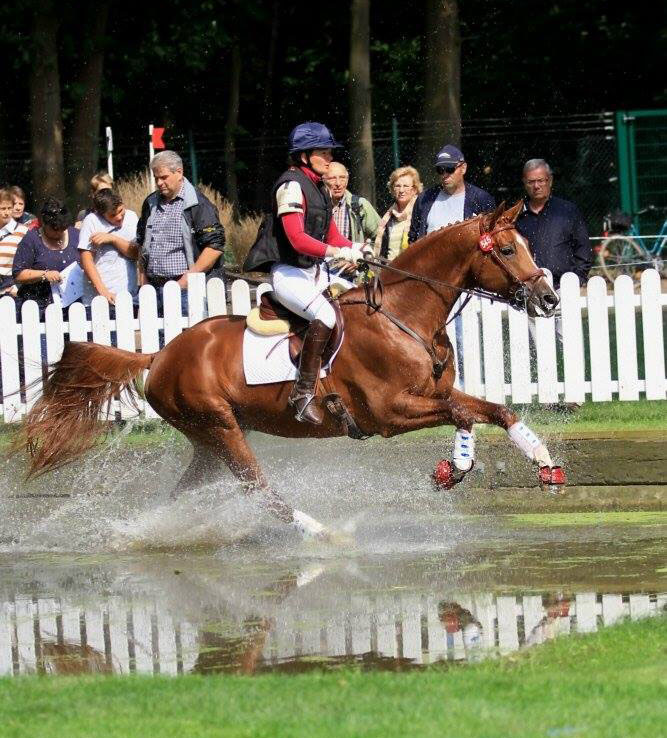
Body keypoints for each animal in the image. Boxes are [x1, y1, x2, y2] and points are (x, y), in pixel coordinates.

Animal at [18, 201, 564, 540]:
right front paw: (457, 468)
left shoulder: (431, 397)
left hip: (210, 438)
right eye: (508, 250)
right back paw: (321, 533)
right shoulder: (389, 414)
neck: (404, 315)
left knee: (186, 491)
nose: (550, 299)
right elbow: (463, 413)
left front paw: (541, 463)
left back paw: (148, 532)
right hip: (220, 427)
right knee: (258, 490)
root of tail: (159, 356)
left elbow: (492, 410)